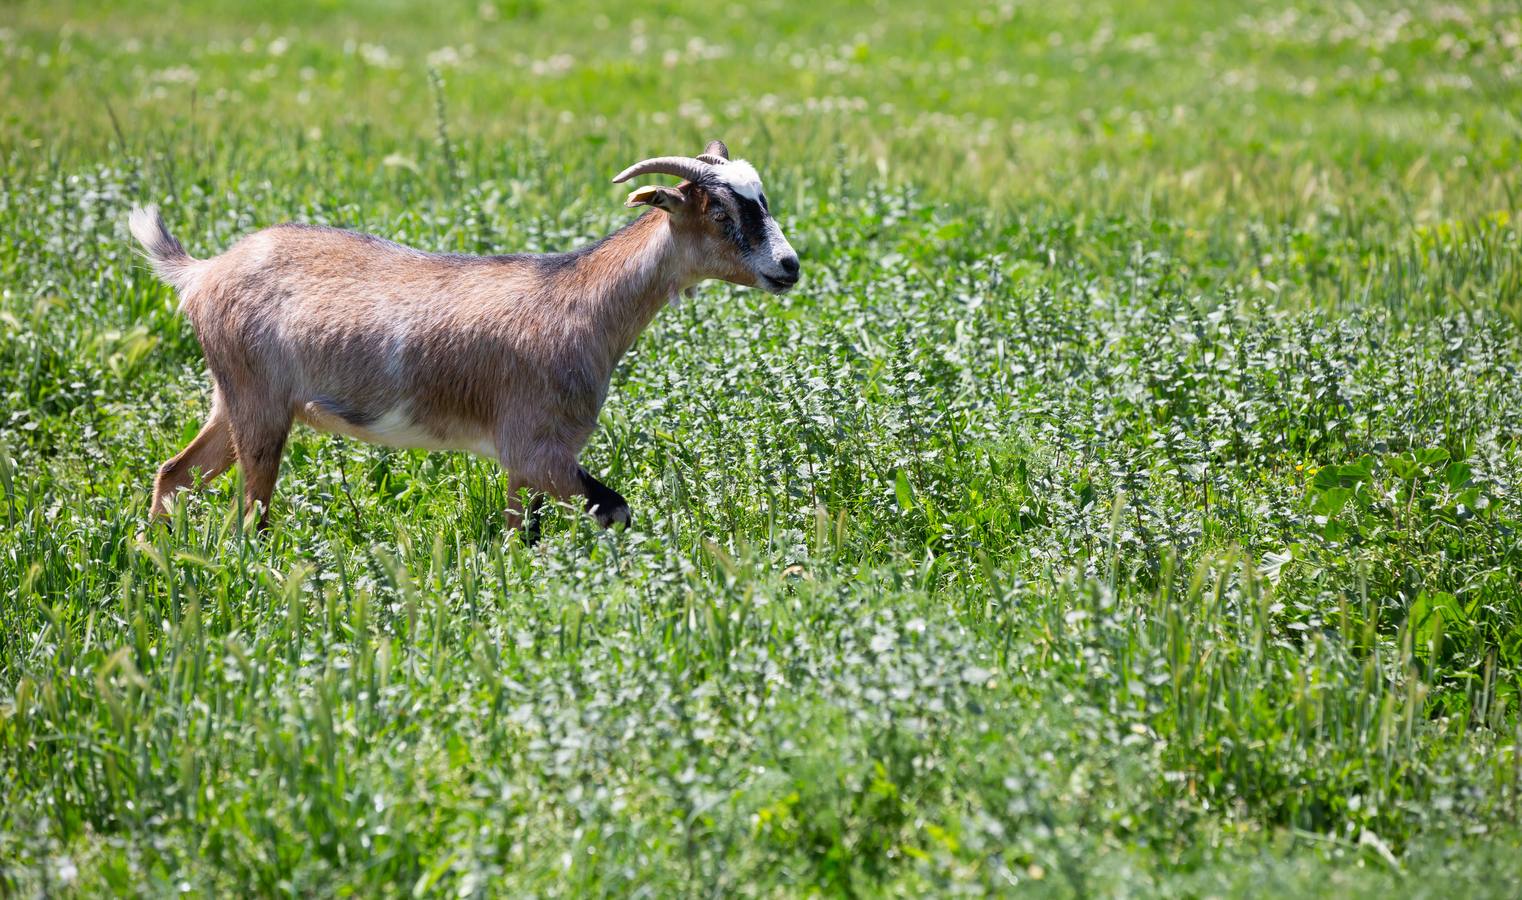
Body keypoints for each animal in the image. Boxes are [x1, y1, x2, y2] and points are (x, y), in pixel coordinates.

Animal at [132, 137, 803, 539]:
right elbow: (613, 509)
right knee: (250, 516)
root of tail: (201, 273)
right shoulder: (537, 448)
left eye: (763, 201)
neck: (578, 301)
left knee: (174, 473)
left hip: (235, 400)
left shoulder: (524, 462)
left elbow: (521, 532)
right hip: (260, 404)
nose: (789, 266)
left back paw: (156, 552)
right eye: (719, 213)